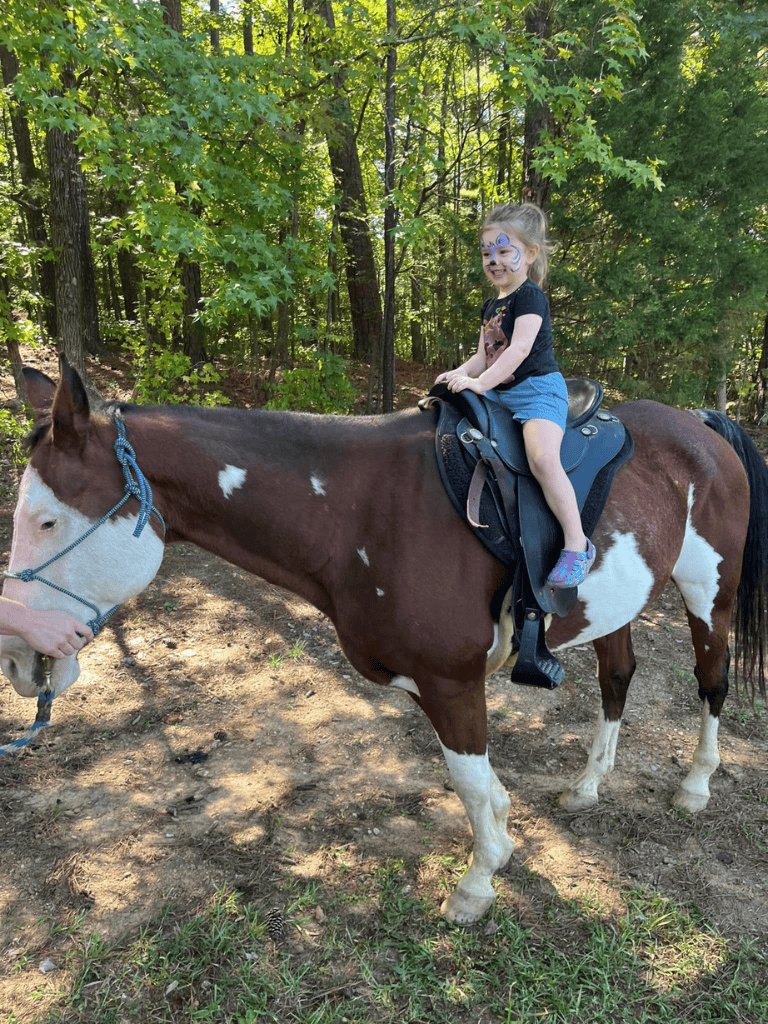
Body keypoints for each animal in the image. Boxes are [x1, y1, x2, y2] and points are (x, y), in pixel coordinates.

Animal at [2, 359, 767, 927]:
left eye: (46, 521)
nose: (18, 659)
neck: (359, 509)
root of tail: (699, 422)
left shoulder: (452, 681)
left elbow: (468, 782)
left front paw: (478, 883)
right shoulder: (435, 685)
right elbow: (481, 786)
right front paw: (503, 841)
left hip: (710, 590)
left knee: (711, 679)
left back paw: (696, 785)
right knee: (618, 677)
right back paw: (587, 785)